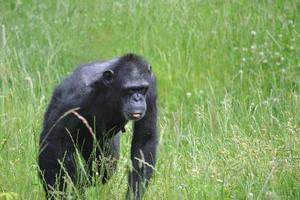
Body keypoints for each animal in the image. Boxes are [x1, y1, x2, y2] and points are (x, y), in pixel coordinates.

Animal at [38, 53, 158, 200]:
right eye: (129, 90)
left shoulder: (151, 87)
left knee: (105, 169)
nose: (137, 98)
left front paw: (134, 194)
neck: (109, 91)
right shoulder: (75, 97)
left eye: (141, 89)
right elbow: (54, 141)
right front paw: (58, 193)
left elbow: (144, 139)